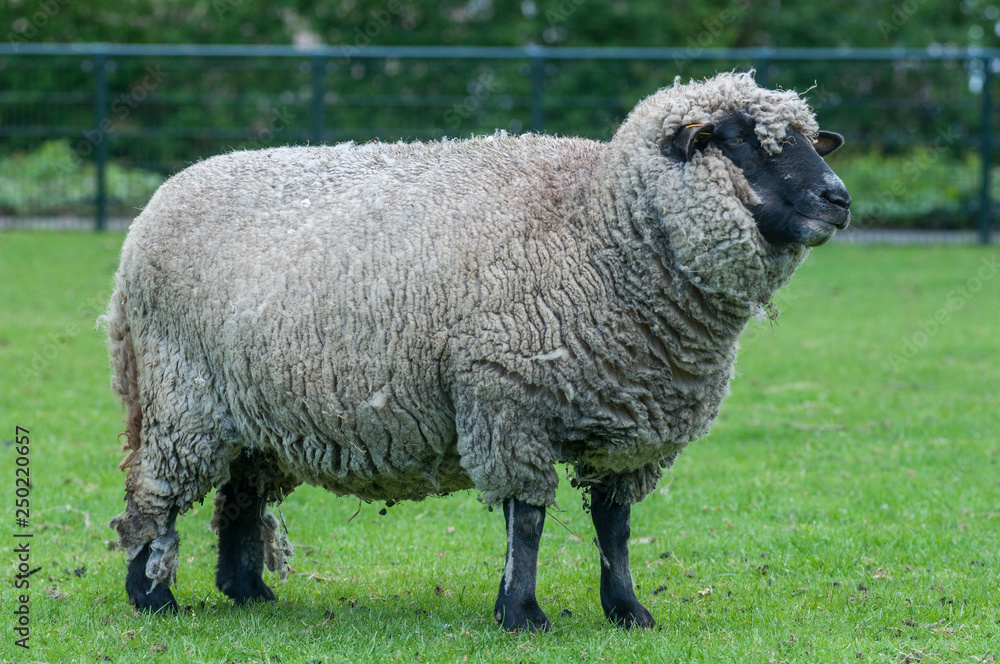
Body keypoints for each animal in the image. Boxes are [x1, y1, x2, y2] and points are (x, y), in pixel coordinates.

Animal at [106, 71, 851, 631]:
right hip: (181, 394)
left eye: (811, 141)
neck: (597, 229)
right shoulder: (506, 399)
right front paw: (521, 614)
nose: (838, 198)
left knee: (240, 496)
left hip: (254, 410)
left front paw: (628, 611)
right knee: (157, 495)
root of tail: (154, 207)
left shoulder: (629, 426)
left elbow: (613, 526)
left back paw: (248, 591)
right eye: (741, 139)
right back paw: (153, 596)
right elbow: (528, 520)